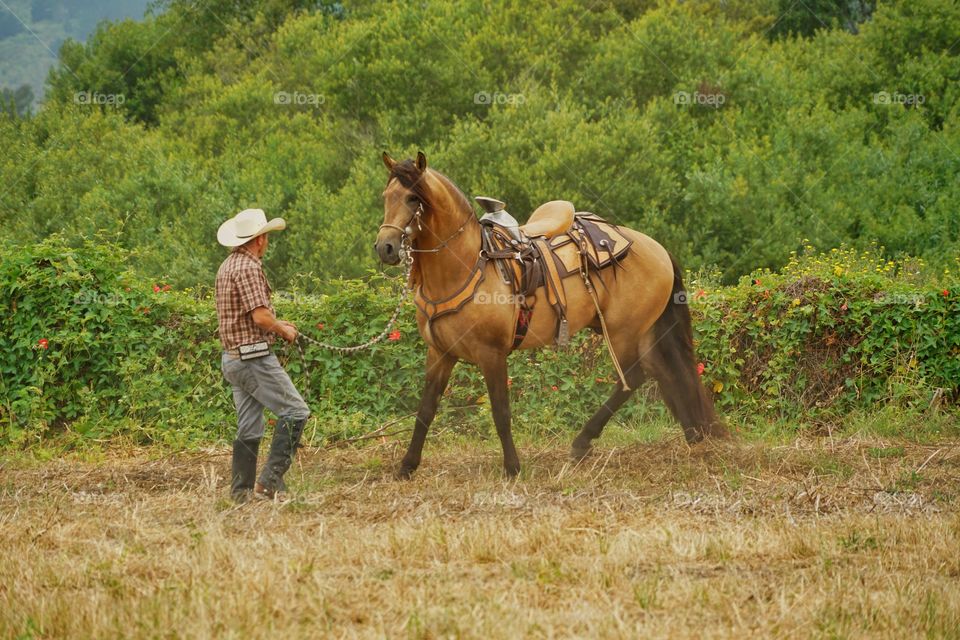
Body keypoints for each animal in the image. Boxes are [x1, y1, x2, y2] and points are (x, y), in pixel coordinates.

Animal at [376, 151, 728, 480]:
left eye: (413, 198)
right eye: (386, 196)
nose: (385, 248)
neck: (466, 266)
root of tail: (656, 247)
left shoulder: (492, 354)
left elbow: (501, 412)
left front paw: (512, 468)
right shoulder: (440, 352)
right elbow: (425, 410)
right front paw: (407, 466)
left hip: (623, 331)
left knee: (633, 377)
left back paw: (582, 442)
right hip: (631, 329)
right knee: (662, 370)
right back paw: (692, 434)